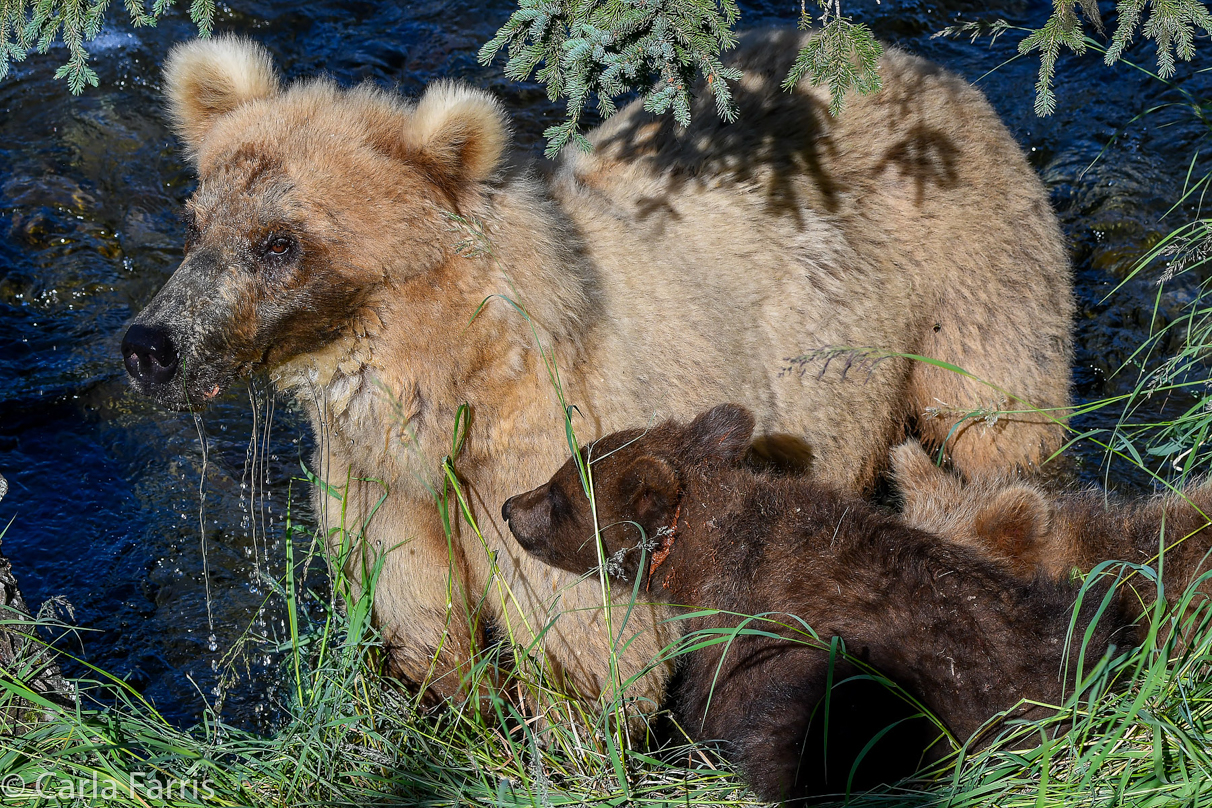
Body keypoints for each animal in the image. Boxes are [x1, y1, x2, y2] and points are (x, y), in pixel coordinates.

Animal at [120, 31, 1071, 712]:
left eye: (279, 241)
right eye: (198, 218)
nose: (149, 344)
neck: (445, 385)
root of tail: (912, 62)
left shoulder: (558, 456)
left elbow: (581, 640)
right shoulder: (383, 489)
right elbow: (422, 619)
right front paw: (460, 716)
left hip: (963, 284)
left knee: (998, 429)